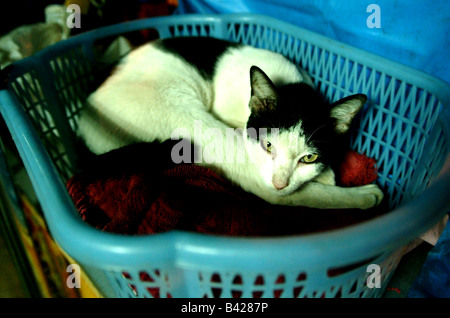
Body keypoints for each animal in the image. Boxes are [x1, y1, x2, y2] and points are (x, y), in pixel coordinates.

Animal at [77, 36, 384, 209]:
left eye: (308, 157)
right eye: (268, 146)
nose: (280, 182)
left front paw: (326, 171)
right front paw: (332, 179)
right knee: (274, 194)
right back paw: (365, 196)